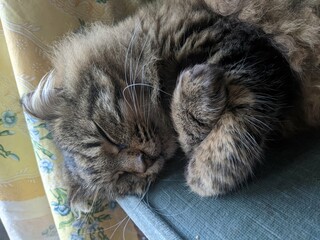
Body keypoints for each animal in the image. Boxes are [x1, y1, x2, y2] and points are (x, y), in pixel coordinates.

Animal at [21, 0, 318, 211]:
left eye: (106, 136)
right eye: (123, 178)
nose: (144, 163)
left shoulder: (243, 50)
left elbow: (226, 137)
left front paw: (203, 174)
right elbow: (198, 140)